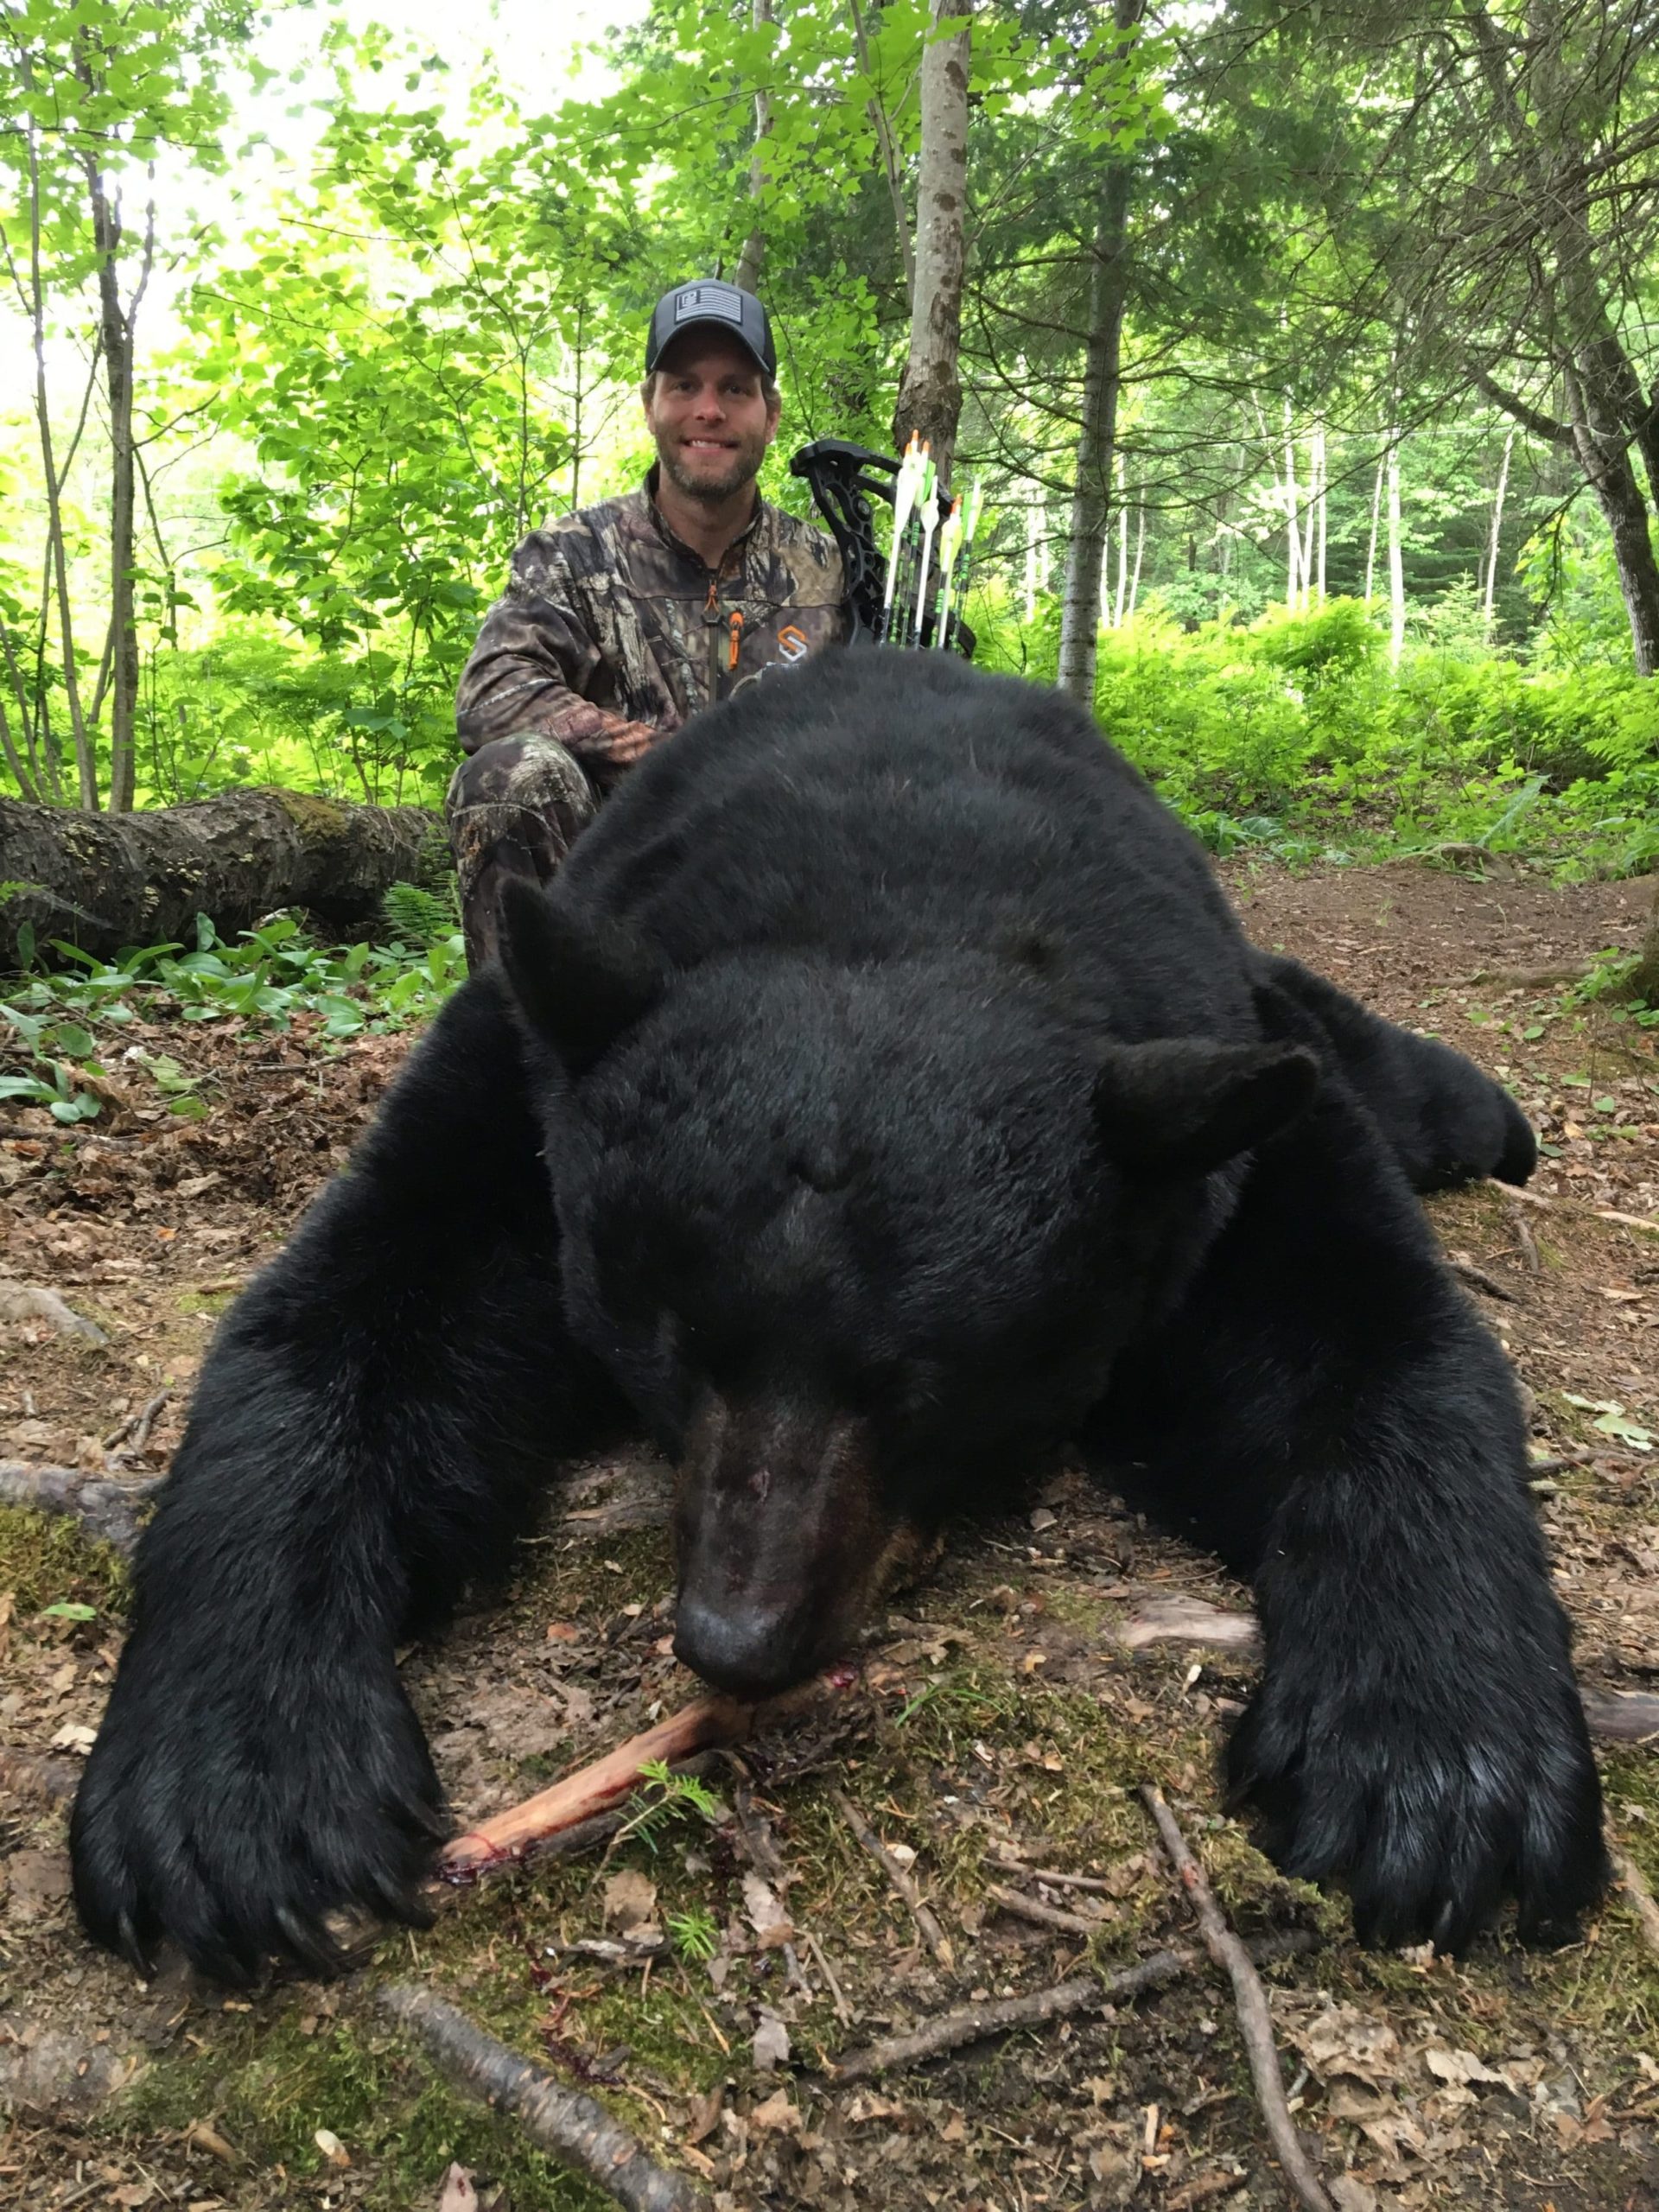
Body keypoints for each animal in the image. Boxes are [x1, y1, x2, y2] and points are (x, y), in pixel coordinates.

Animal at [68, 645, 1610, 1981]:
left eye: (926, 1386)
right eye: (667, 1350)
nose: (734, 1637)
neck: (898, 888)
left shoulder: (1214, 1129)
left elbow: (1375, 1346)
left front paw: (1438, 1766)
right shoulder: (523, 1074)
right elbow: (347, 1319)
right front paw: (238, 1786)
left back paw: (1493, 1117)